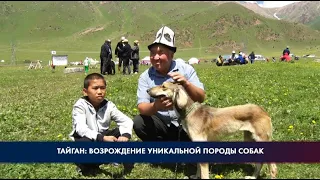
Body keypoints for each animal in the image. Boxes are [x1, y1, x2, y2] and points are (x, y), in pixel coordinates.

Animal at [148, 82, 278, 179]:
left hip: (261, 139)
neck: (189, 112)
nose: (148, 90)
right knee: (260, 162)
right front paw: (196, 176)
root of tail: (263, 110)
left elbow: (204, 172)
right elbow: (199, 167)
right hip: (250, 139)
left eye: (163, 86)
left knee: (273, 168)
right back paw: (253, 177)